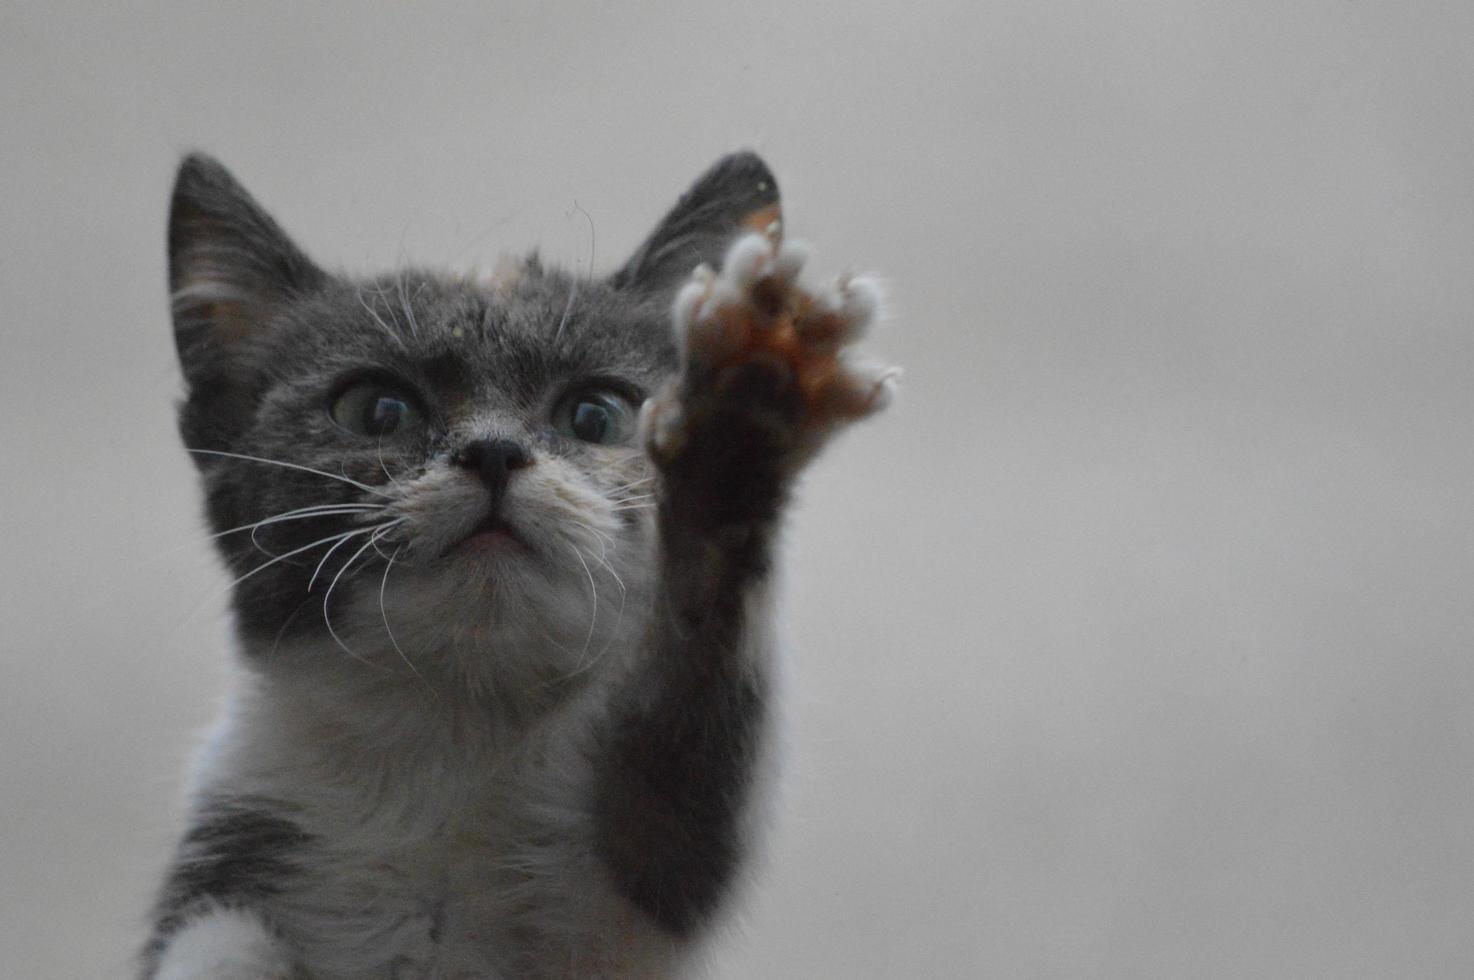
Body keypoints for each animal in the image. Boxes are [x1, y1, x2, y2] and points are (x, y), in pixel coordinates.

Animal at [143, 153, 890, 978]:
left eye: (597, 414)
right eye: (377, 409)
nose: (494, 451)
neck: (457, 730)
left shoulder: (632, 886)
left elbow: (680, 795)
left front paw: (741, 421)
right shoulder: (241, 826)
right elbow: (220, 941)